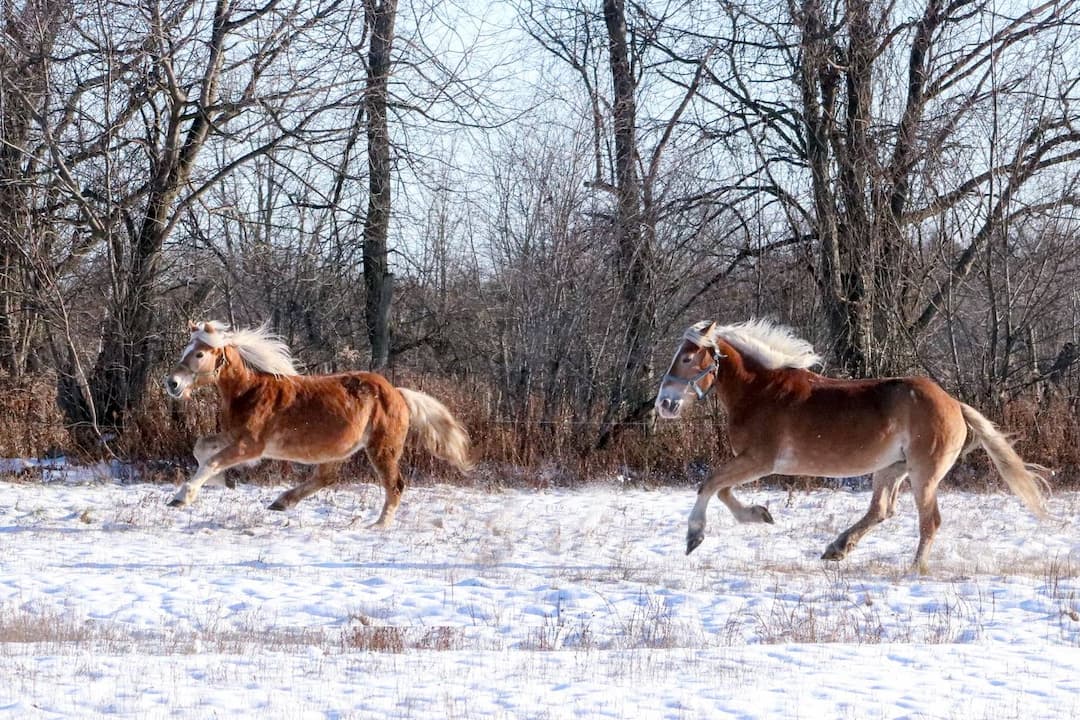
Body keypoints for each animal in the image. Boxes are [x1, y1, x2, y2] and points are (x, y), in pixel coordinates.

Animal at [164, 321, 473, 524]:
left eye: (200, 354)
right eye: (184, 350)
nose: (172, 383)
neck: (249, 392)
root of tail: (397, 393)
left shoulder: (250, 445)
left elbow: (213, 460)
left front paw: (182, 497)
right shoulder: (232, 435)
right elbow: (201, 448)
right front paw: (221, 482)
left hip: (382, 449)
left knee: (394, 485)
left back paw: (378, 526)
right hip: (336, 449)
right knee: (326, 478)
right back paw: (281, 503)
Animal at [652, 319, 1049, 569]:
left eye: (687, 357)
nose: (664, 405)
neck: (760, 391)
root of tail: (954, 404)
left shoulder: (759, 461)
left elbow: (710, 484)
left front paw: (694, 537)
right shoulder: (751, 462)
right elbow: (720, 489)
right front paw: (760, 514)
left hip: (924, 473)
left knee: (929, 520)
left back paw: (914, 567)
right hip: (891, 469)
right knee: (882, 511)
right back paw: (836, 549)